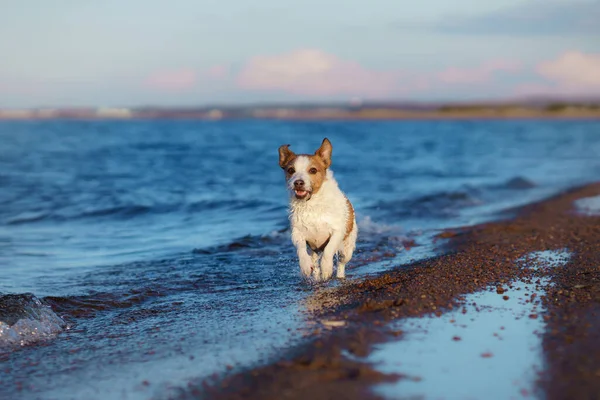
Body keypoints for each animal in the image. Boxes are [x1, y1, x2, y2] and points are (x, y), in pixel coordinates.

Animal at [278, 138, 356, 282]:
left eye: (313, 170)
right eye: (291, 170)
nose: (298, 182)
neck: (312, 202)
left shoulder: (337, 231)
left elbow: (329, 250)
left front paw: (327, 268)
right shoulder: (297, 233)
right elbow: (301, 249)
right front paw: (305, 265)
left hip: (346, 250)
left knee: (341, 263)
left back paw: (339, 276)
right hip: (314, 250)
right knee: (315, 264)